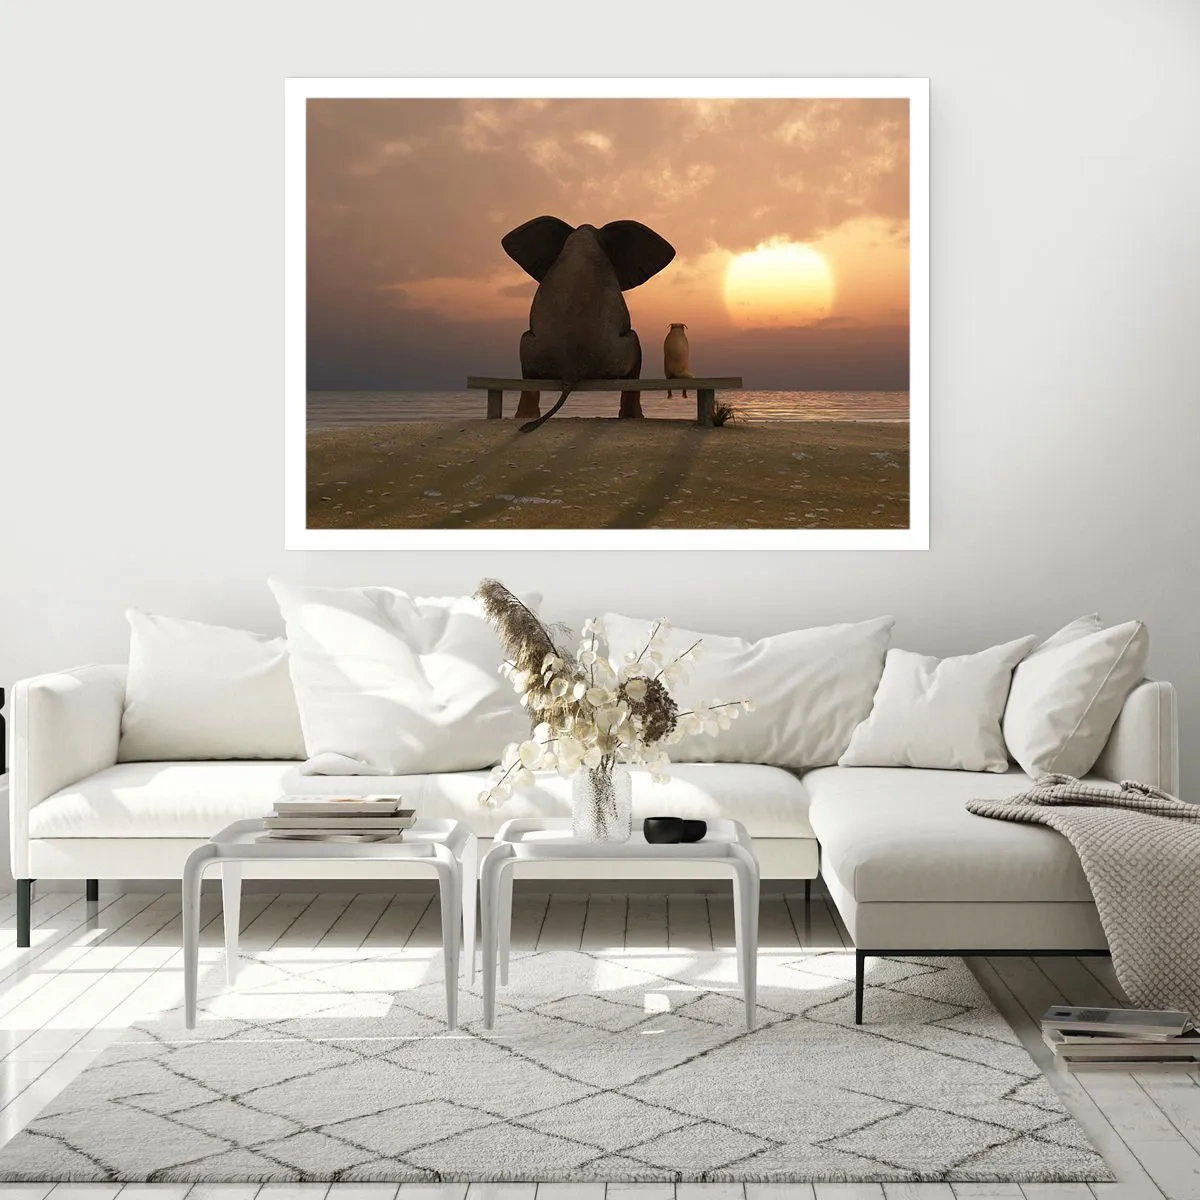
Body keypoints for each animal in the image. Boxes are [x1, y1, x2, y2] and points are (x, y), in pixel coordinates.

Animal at [501, 215, 676, 432]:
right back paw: (633, 417)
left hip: (531, 348)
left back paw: (524, 418)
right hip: (618, 354)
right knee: (635, 349)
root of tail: (570, 372)